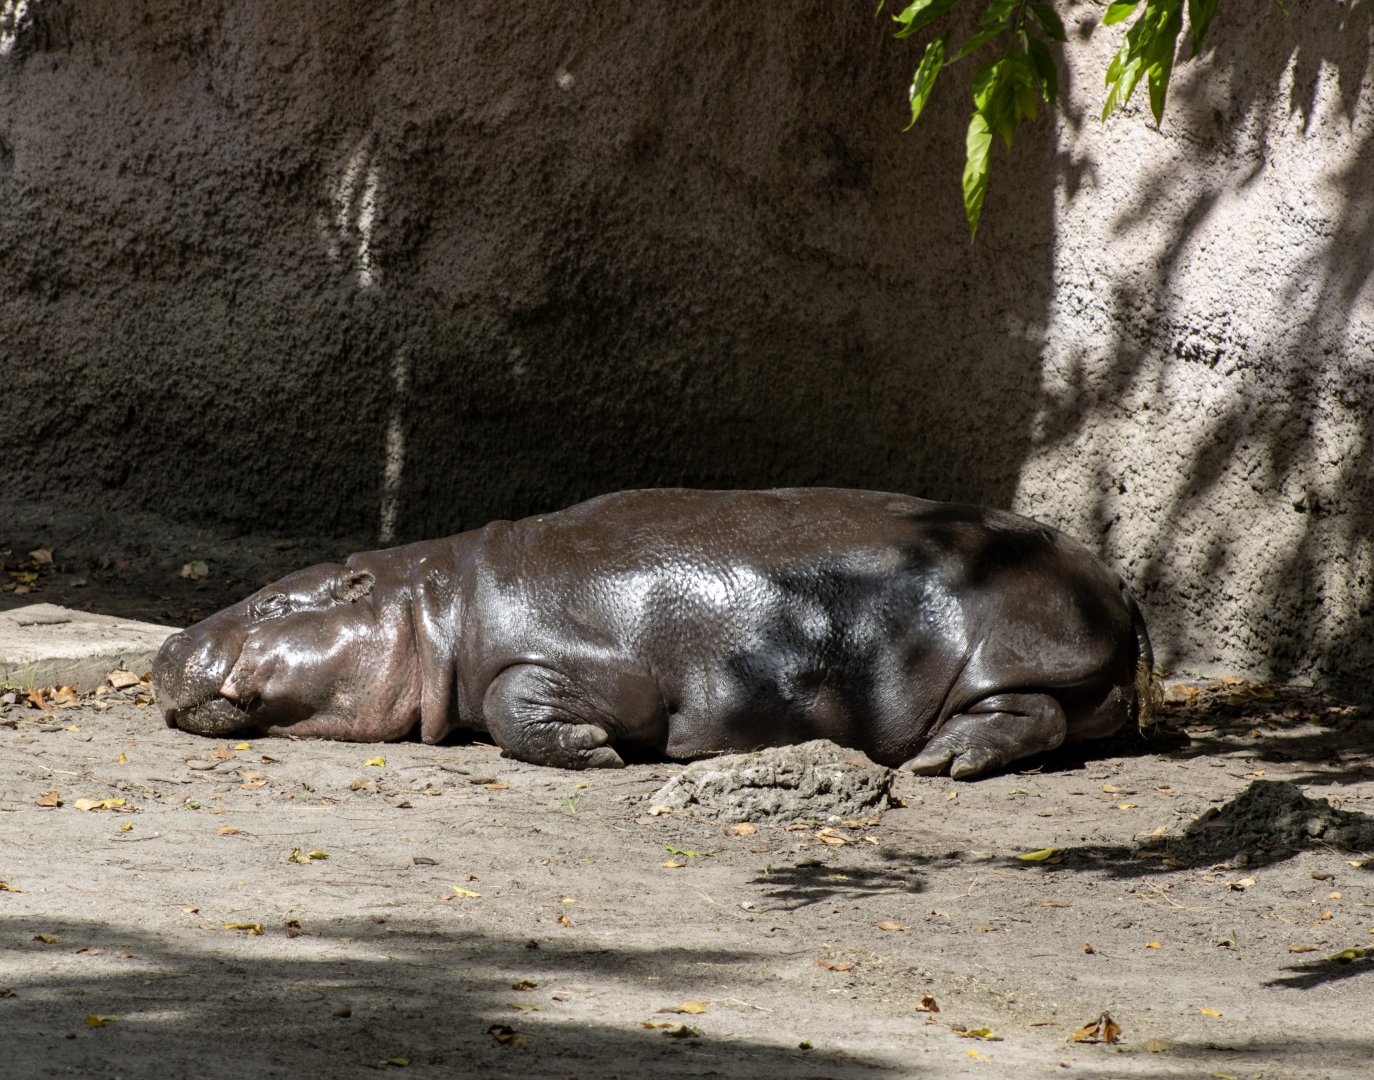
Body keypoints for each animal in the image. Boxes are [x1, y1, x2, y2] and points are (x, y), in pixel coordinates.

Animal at [154, 488, 1155, 778]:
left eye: (279, 604)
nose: (165, 648)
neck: (430, 602)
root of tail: (1112, 579)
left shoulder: (598, 665)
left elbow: (514, 697)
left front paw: (593, 752)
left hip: (1004, 656)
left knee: (1032, 714)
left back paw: (944, 761)